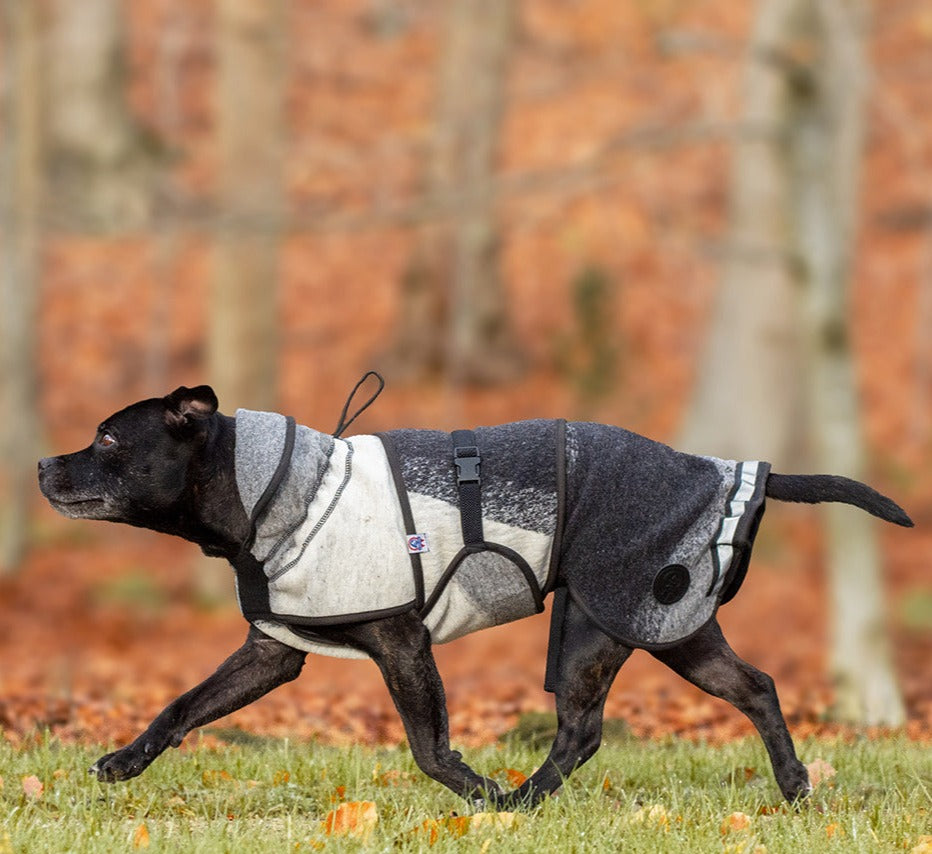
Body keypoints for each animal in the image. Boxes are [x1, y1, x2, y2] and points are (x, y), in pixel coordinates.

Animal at [36, 388, 912, 808]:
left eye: (108, 437)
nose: (44, 463)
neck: (275, 493)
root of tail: (715, 467)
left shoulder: (401, 645)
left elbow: (428, 748)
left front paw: (476, 792)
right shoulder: (271, 652)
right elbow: (182, 706)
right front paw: (123, 760)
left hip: (620, 624)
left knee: (591, 730)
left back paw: (517, 802)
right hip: (650, 627)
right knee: (737, 691)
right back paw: (790, 785)